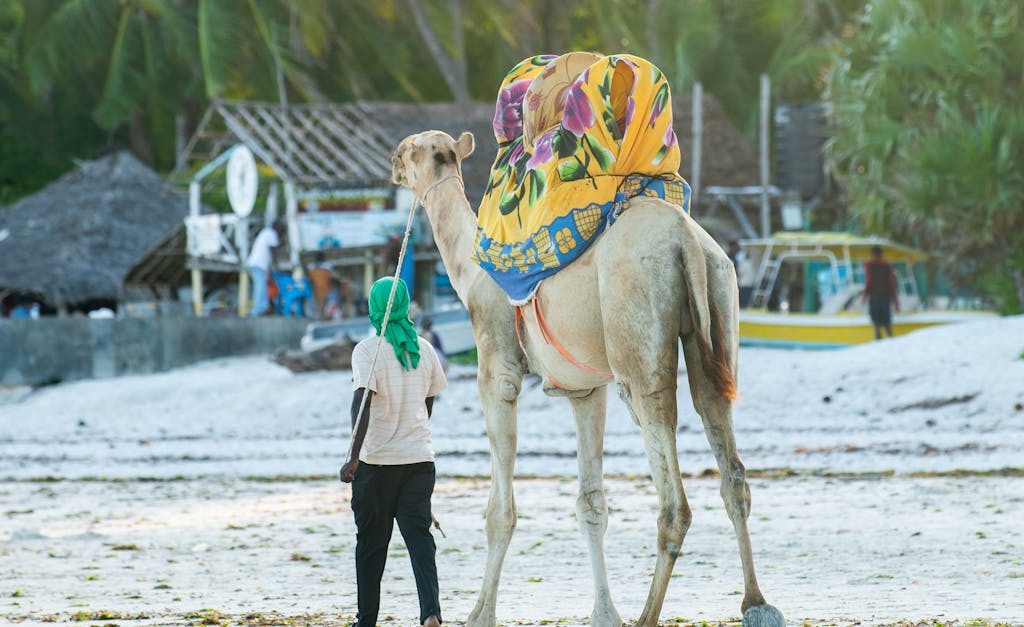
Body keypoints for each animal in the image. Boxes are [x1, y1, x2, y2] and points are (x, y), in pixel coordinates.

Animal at [391, 129, 784, 627]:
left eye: (409, 149)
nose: (391, 161)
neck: (469, 271)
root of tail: (685, 240)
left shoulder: (497, 371)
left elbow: (500, 511)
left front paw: (480, 613)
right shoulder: (584, 389)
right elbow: (591, 502)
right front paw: (604, 612)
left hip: (638, 339)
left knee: (673, 495)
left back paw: (647, 615)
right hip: (719, 301)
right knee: (728, 457)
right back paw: (755, 601)